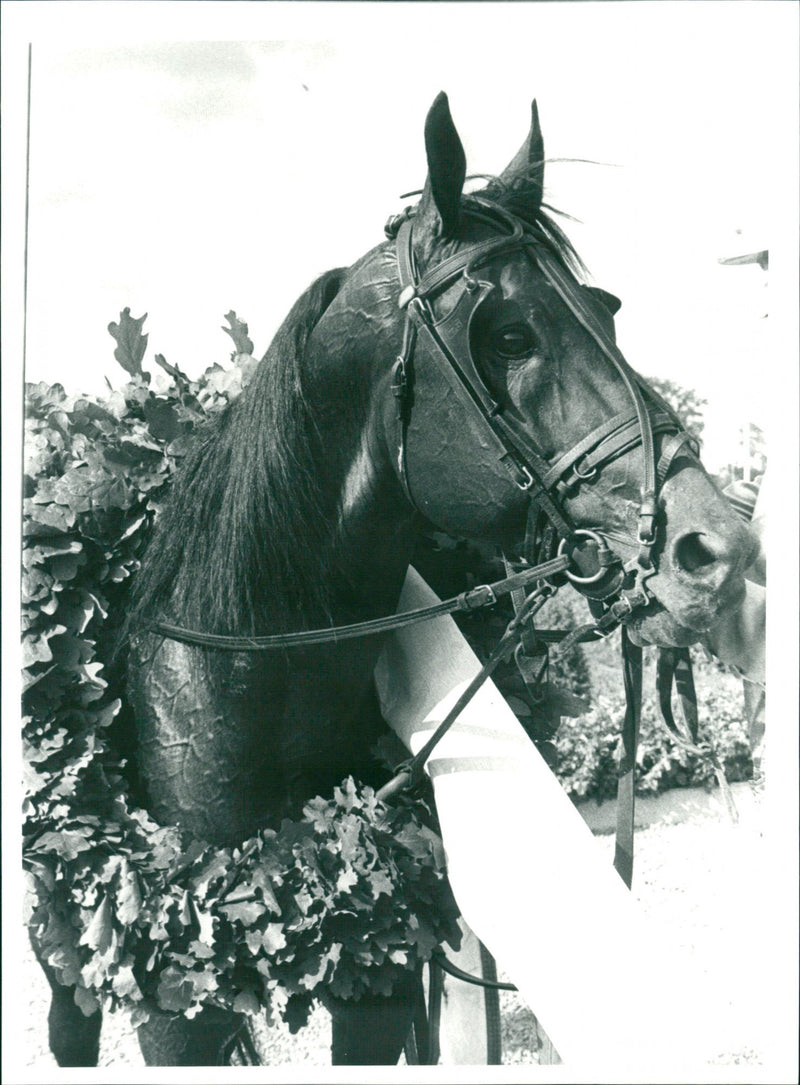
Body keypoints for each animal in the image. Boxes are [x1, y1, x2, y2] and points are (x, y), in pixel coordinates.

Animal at [32, 93, 755, 1067]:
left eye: (607, 309)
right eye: (510, 335)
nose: (716, 549)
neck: (247, 655)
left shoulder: (369, 962)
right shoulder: (177, 998)